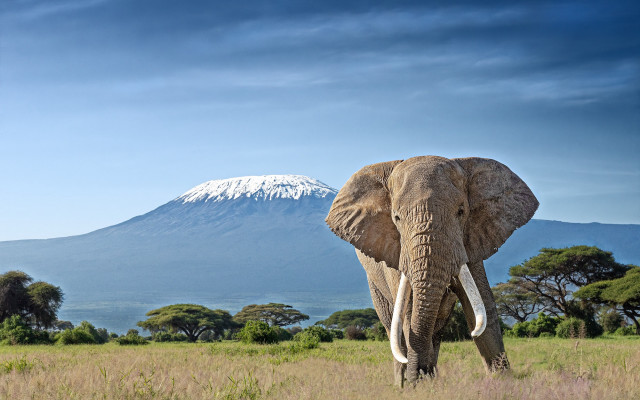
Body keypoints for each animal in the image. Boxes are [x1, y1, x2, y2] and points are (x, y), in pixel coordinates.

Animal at [325, 156, 538, 385]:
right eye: (397, 217)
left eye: (461, 211)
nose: (418, 375)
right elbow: (409, 311)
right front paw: (416, 385)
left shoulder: (472, 240)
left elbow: (483, 306)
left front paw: (502, 382)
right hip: (374, 281)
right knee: (393, 325)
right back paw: (402, 382)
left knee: (437, 329)